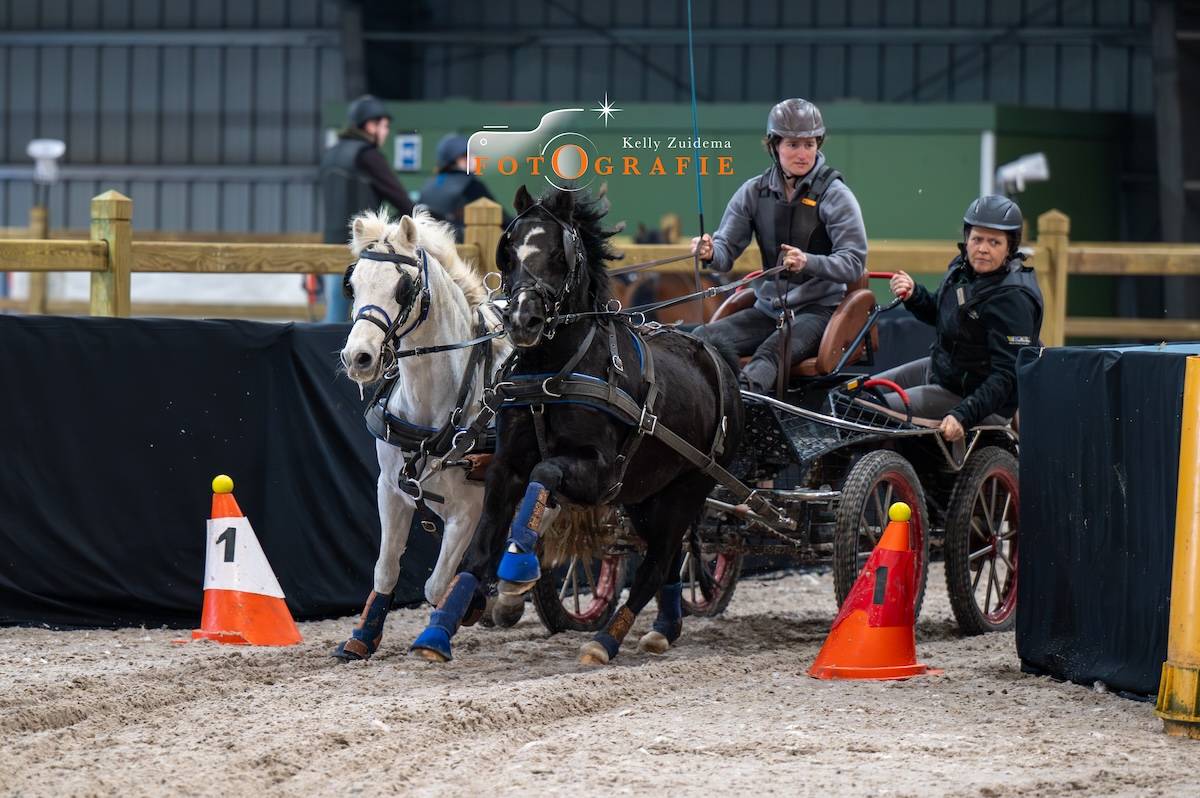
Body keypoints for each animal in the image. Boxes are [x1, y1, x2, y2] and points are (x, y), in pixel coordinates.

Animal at [333, 206, 511, 657]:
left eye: (403, 286)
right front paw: (362, 636)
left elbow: (435, 585)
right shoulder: (391, 489)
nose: (358, 357)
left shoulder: (472, 508)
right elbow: (385, 568)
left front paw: (465, 609)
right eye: (351, 284)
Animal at [417, 183, 744, 662]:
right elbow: (479, 550)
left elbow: (545, 471)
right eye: (509, 252)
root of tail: (717, 356)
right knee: (663, 563)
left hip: (689, 486)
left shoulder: (600, 473)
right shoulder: (505, 468)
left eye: (558, 253)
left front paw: (517, 570)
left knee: (655, 565)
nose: (523, 319)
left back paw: (604, 641)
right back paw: (663, 629)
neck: (554, 372)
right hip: (647, 494)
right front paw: (439, 630)